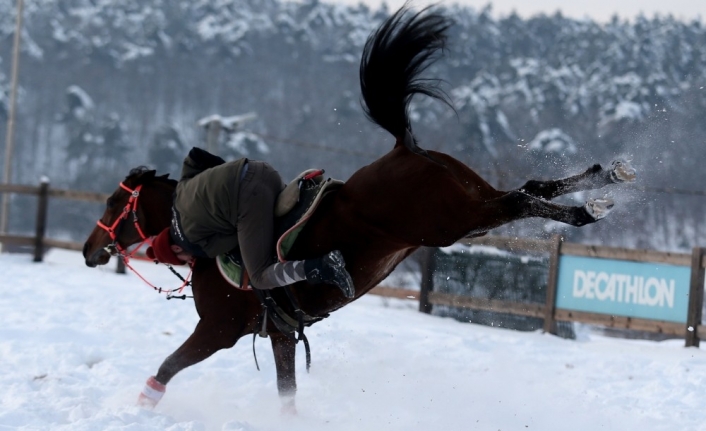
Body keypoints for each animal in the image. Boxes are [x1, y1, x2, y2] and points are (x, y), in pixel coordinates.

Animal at [81, 5, 632, 412]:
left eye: (114, 200)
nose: (89, 249)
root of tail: (403, 147)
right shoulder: (282, 336)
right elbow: (286, 392)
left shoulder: (216, 330)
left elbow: (169, 366)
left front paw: (142, 406)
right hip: (470, 208)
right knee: (531, 188)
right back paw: (605, 179)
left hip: (454, 222)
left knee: (521, 199)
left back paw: (591, 208)